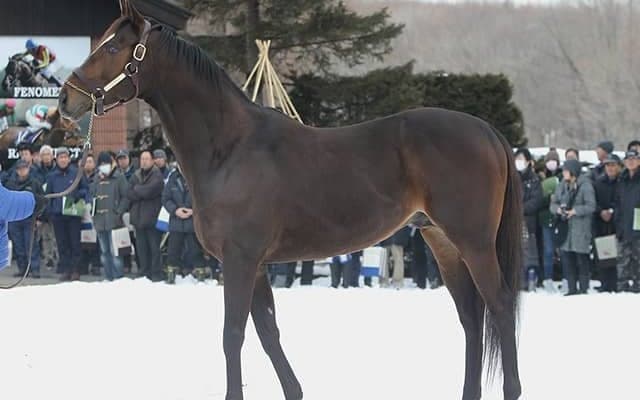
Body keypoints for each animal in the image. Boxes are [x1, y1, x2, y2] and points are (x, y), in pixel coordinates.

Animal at [58, 1, 524, 399]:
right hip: (442, 241)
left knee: (500, 306)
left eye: (113, 47)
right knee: (471, 317)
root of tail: (487, 130)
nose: (66, 98)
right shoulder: (258, 264)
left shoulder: (240, 259)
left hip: (474, 243)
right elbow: (268, 332)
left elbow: (233, 335)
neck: (230, 148)